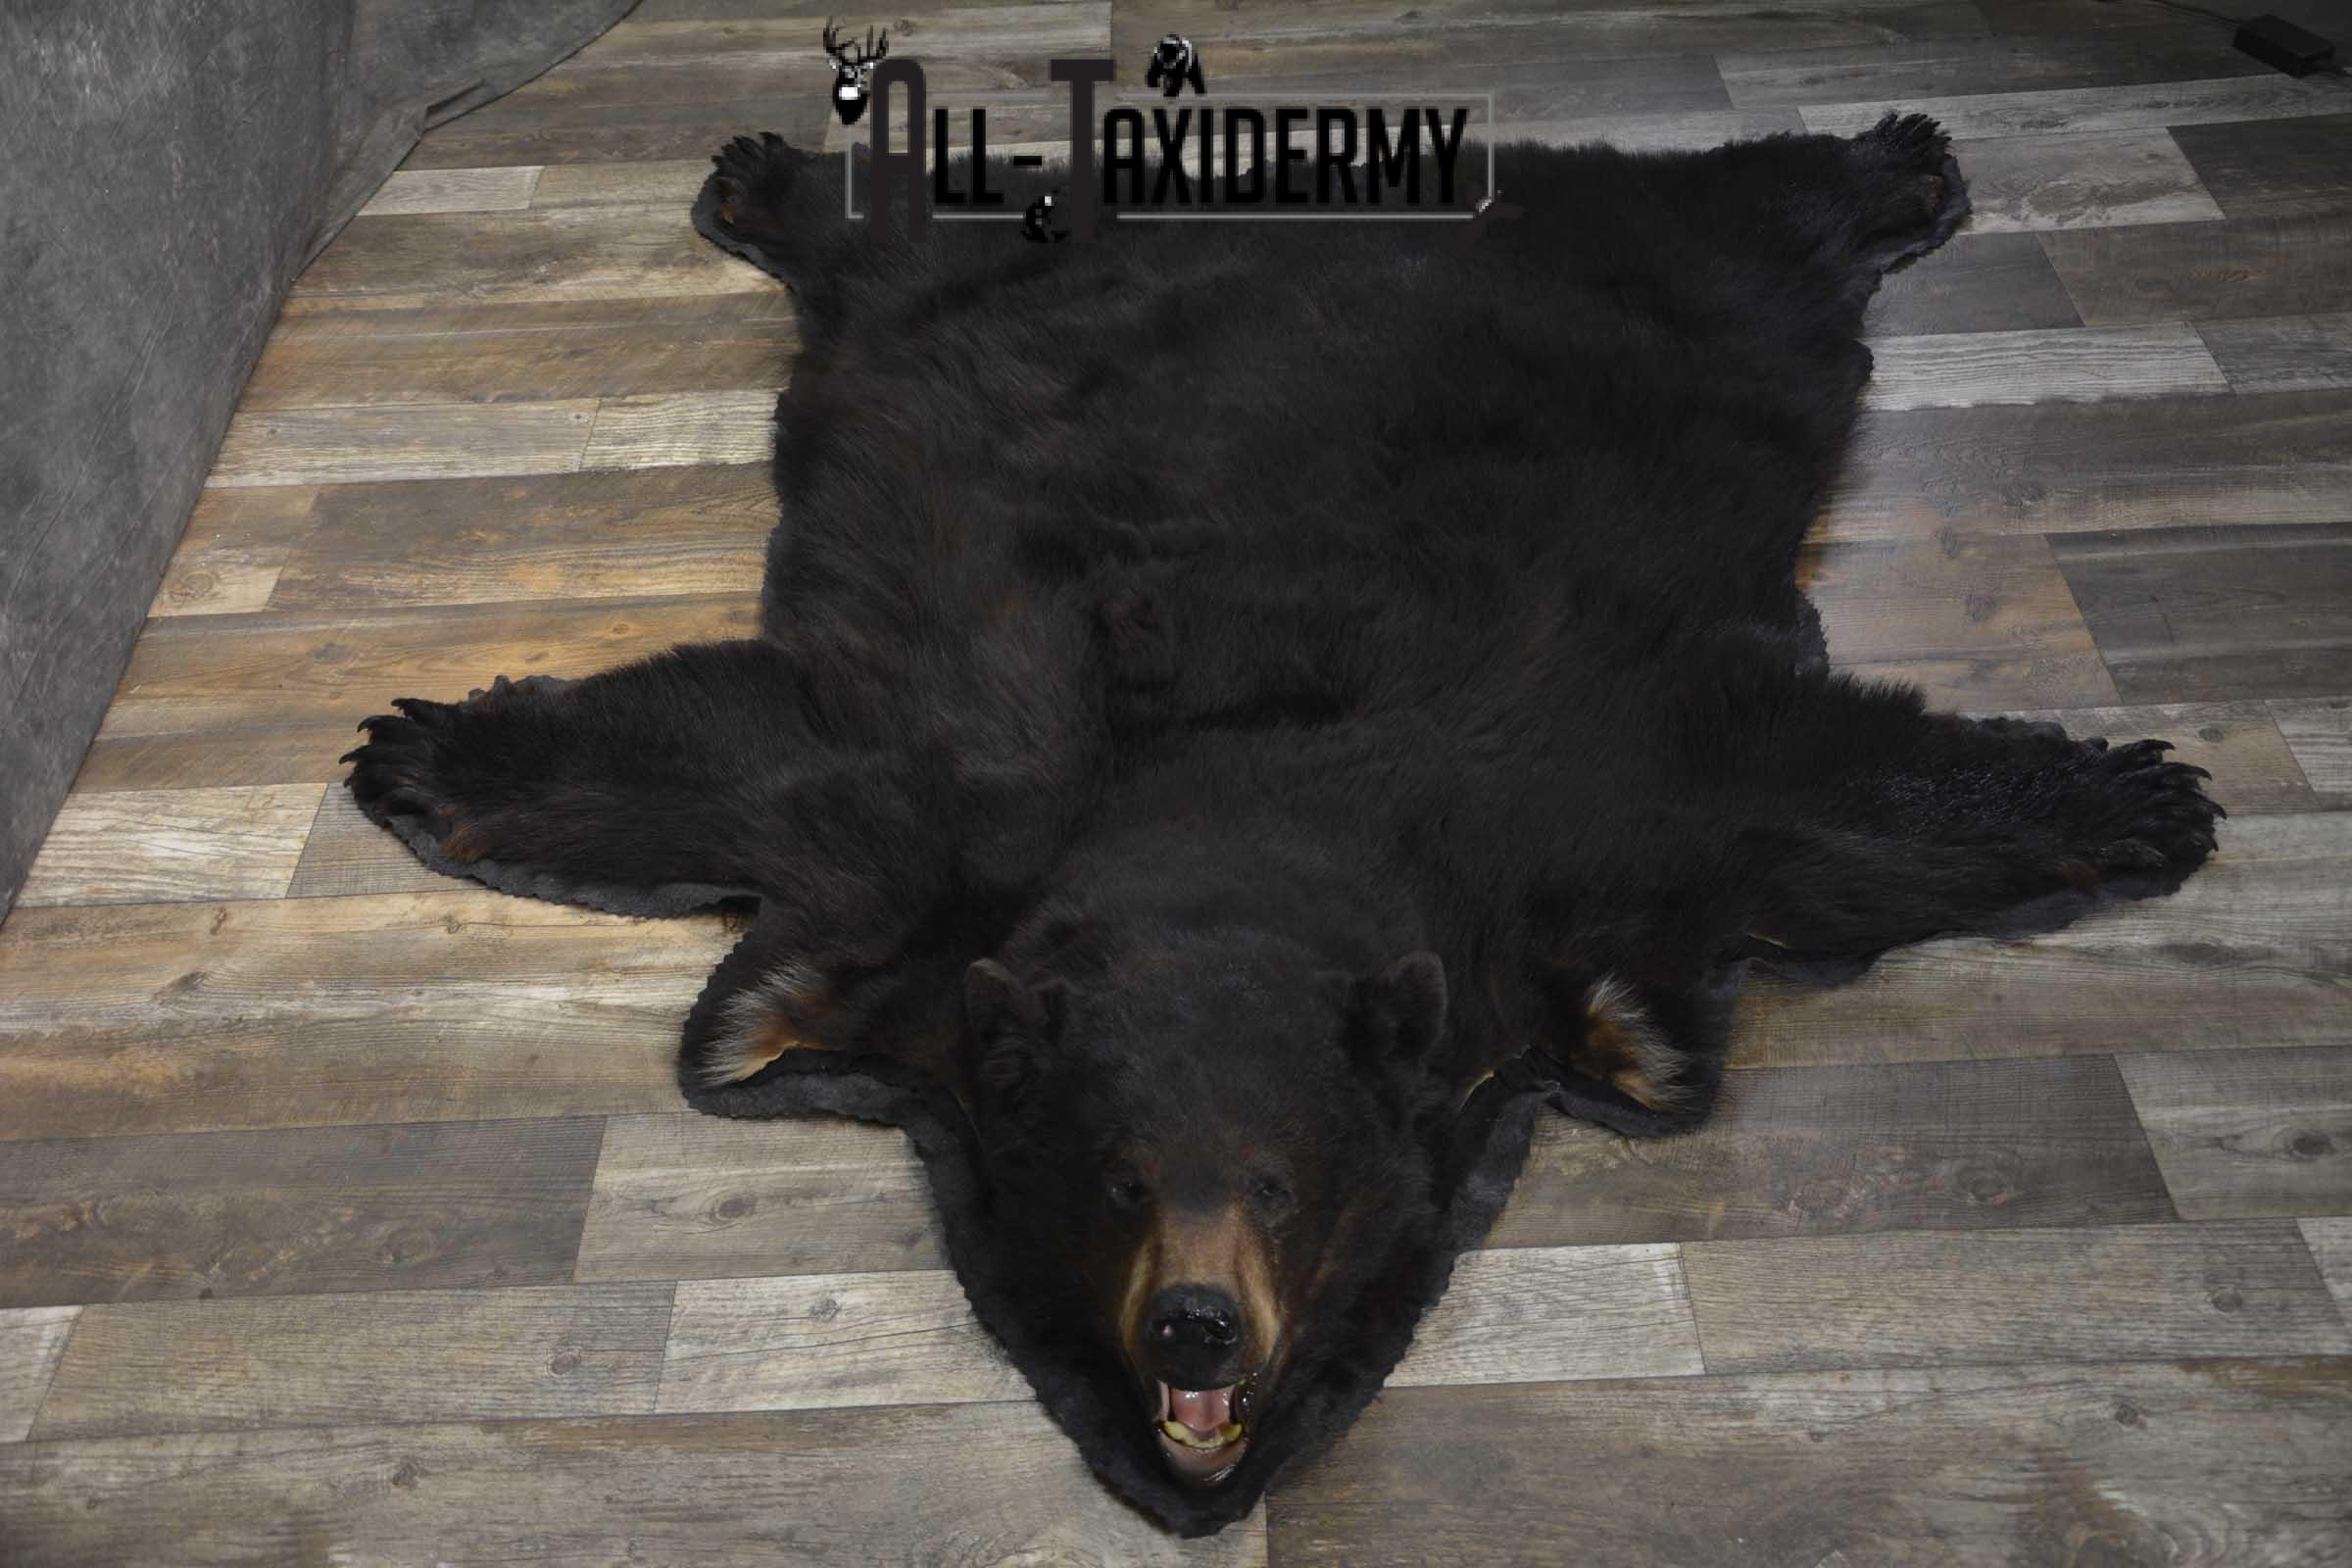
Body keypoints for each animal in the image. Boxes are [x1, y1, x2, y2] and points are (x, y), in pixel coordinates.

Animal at [342, 117, 2222, 1535]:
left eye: (1283, 1181)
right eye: (1114, 1178)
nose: (1197, 1326)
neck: (1230, 835)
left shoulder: (1580, 807)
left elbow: (1804, 804)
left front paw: (2144, 798)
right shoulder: (945, 803)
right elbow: (741, 761)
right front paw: (418, 751)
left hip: (1690, 293)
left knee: (1754, 215)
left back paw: (1901, 160)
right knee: (902, 238)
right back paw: (764, 177)